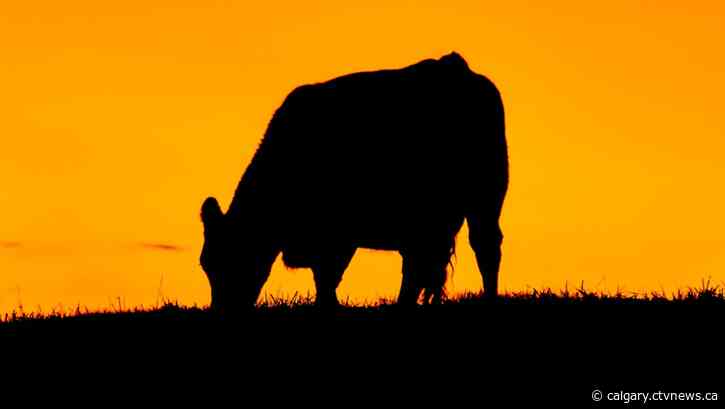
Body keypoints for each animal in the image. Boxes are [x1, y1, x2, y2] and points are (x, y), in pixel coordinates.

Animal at [200, 52, 508, 311]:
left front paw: (327, 306)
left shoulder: (336, 234)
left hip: (484, 198)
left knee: (481, 247)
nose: (224, 310)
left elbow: (327, 274)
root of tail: (455, 68)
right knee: (424, 262)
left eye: (232, 257)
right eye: (206, 264)